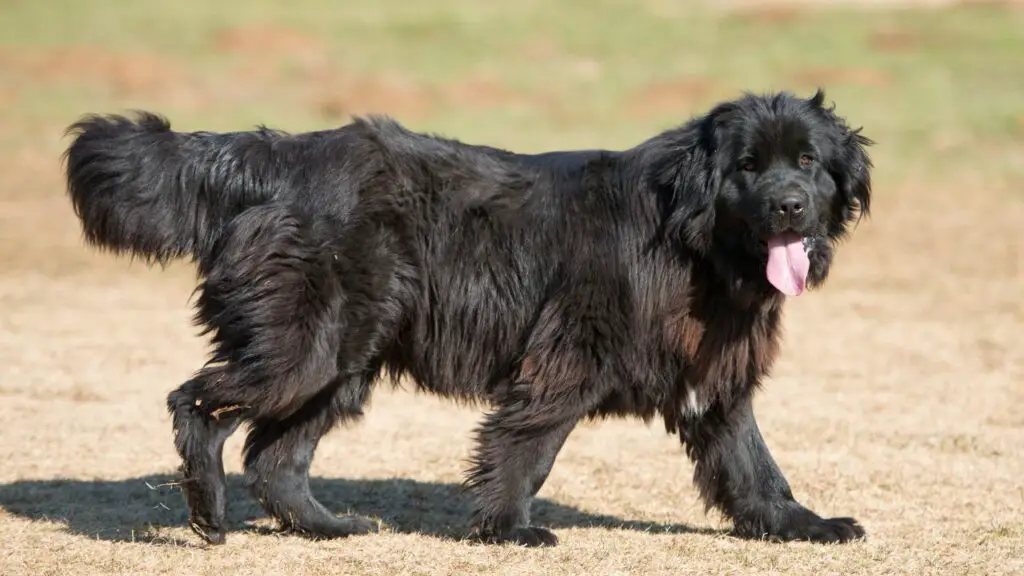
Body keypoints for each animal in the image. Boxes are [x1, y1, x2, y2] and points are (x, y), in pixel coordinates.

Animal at [59, 87, 868, 545]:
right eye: (747, 166)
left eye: (808, 161)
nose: (789, 206)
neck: (691, 234)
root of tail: (275, 158)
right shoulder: (566, 357)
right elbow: (527, 445)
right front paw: (507, 530)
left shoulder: (716, 377)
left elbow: (754, 465)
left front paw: (801, 527)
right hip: (305, 347)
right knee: (196, 404)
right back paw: (208, 514)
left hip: (344, 358)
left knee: (275, 457)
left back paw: (328, 528)